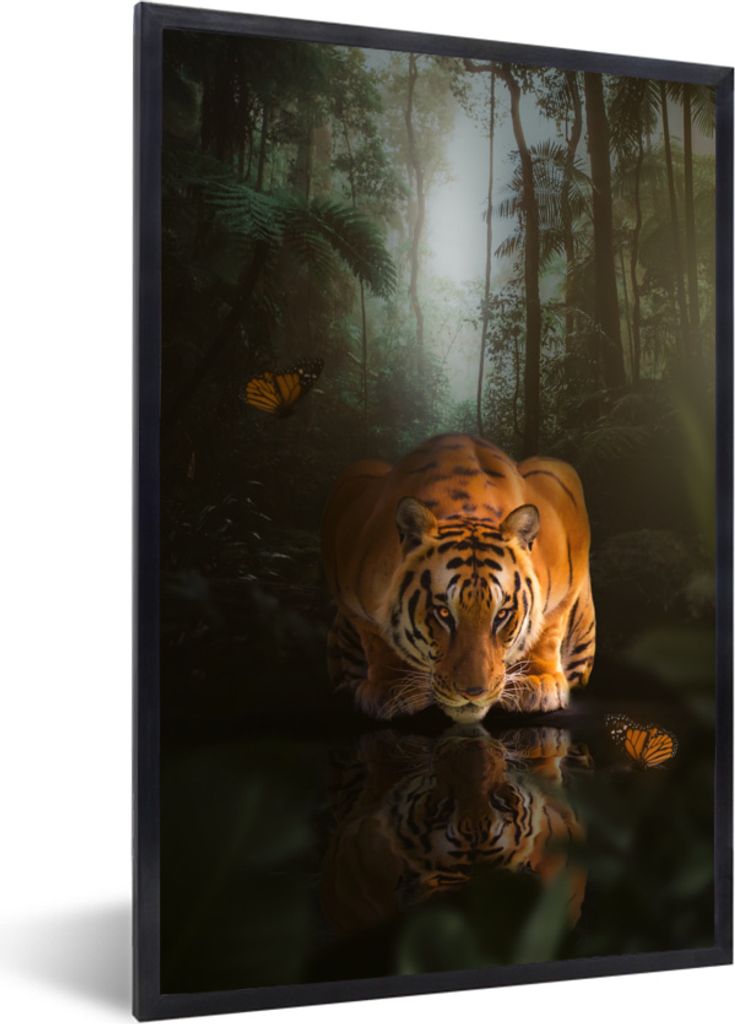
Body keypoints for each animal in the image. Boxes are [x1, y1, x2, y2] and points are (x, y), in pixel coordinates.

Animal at [321, 433, 595, 722]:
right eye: (443, 613)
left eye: (501, 614)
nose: (473, 692)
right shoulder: (349, 584)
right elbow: (377, 639)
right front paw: (391, 688)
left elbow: (548, 628)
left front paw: (537, 682)